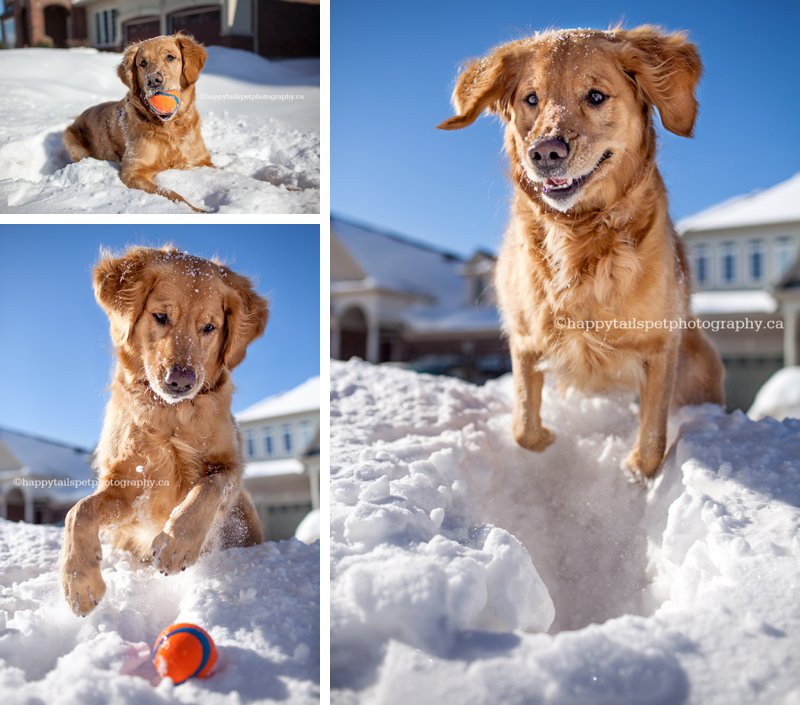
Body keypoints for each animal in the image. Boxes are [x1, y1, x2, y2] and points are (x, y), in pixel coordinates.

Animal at [61, 245, 268, 612]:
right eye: (160, 317)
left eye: (209, 327)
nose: (181, 381)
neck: (171, 416)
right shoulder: (128, 488)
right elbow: (79, 511)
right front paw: (80, 582)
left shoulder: (230, 466)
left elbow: (209, 487)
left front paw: (176, 545)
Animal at [63, 33, 211, 212]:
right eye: (143, 63)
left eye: (170, 57)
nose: (153, 80)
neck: (169, 128)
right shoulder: (133, 170)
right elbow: (169, 192)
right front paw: (196, 210)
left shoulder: (201, 160)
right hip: (70, 138)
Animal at [438, 27, 724, 478]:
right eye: (531, 99)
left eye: (595, 96)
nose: (545, 152)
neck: (578, 233)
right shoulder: (526, 338)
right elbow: (523, 426)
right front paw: (548, 440)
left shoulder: (659, 344)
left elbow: (652, 440)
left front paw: (635, 472)